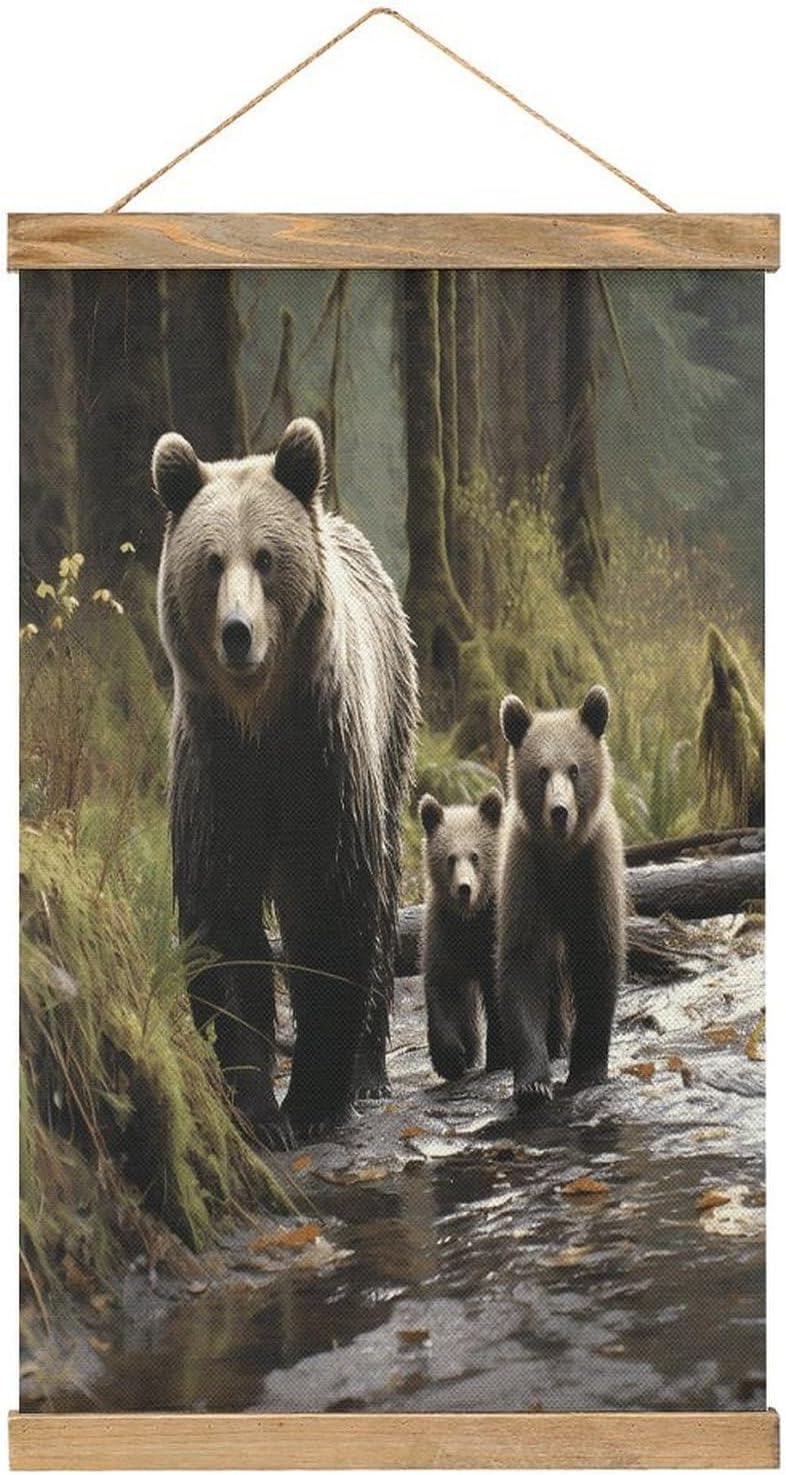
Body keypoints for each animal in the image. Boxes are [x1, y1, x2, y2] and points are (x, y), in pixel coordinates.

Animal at [152, 417, 419, 1148]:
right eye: (212, 561)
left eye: (267, 557)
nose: (237, 633)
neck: (260, 723)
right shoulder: (216, 773)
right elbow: (223, 921)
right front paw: (257, 1108)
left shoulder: (321, 761)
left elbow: (331, 905)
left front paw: (315, 1101)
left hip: (389, 738)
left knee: (382, 902)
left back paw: (368, 1069)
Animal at [418, 789, 507, 1080]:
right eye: (449, 858)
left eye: (475, 856)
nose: (464, 888)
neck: (470, 918)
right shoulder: (446, 934)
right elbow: (444, 990)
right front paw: (452, 1059)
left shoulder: (490, 933)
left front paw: (500, 1056)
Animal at [497, 685, 626, 1106]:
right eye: (541, 771)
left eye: (574, 769)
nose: (559, 811)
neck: (561, 854)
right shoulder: (527, 872)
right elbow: (522, 963)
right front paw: (533, 1082)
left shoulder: (593, 870)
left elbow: (597, 957)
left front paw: (587, 1069)